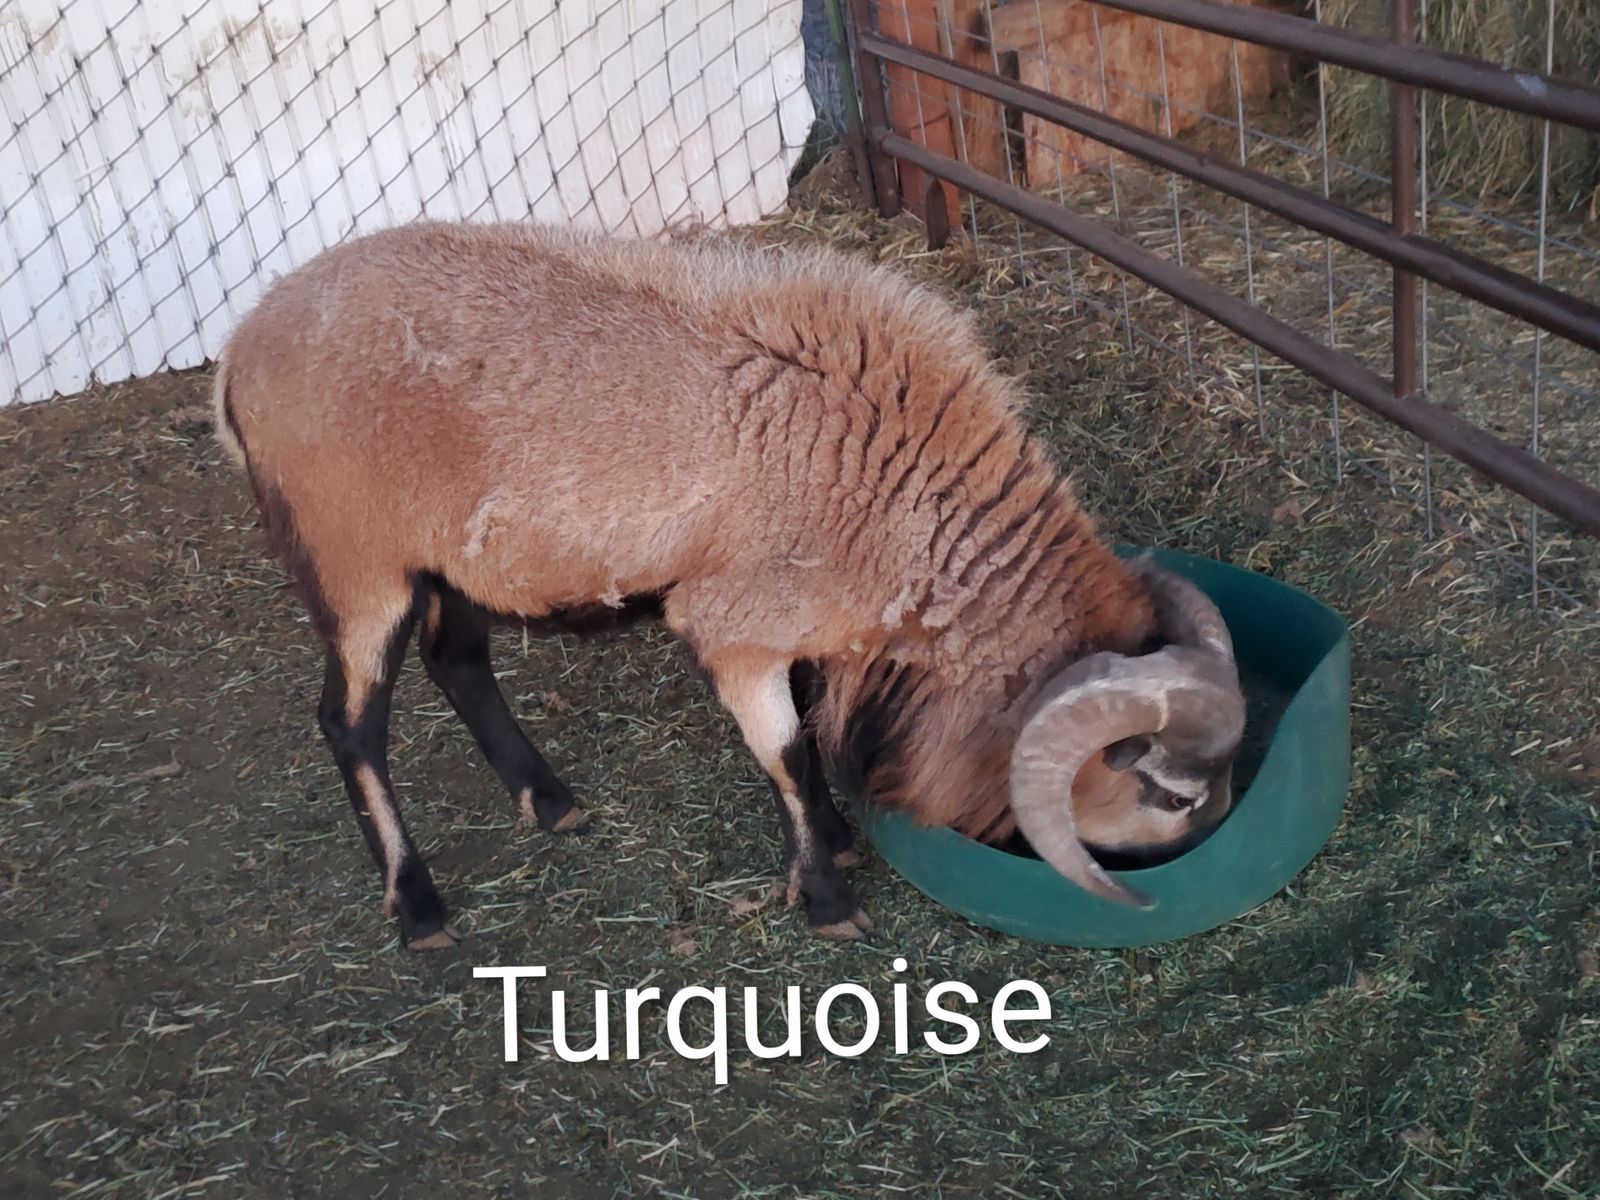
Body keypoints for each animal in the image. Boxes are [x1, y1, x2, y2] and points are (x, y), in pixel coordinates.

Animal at [214, 220, 1245, 950]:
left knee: (458, 659)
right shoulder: (731, 627)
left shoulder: (803, 626)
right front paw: (826, 897)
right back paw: (417, 903)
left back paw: (550, 800)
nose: (1201, 856)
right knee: (350, 724)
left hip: (457, 555)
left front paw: (832, 837)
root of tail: (239, 351)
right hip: (357, 565)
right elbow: (785, 750)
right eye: (1172, 796)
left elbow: (808, 736)